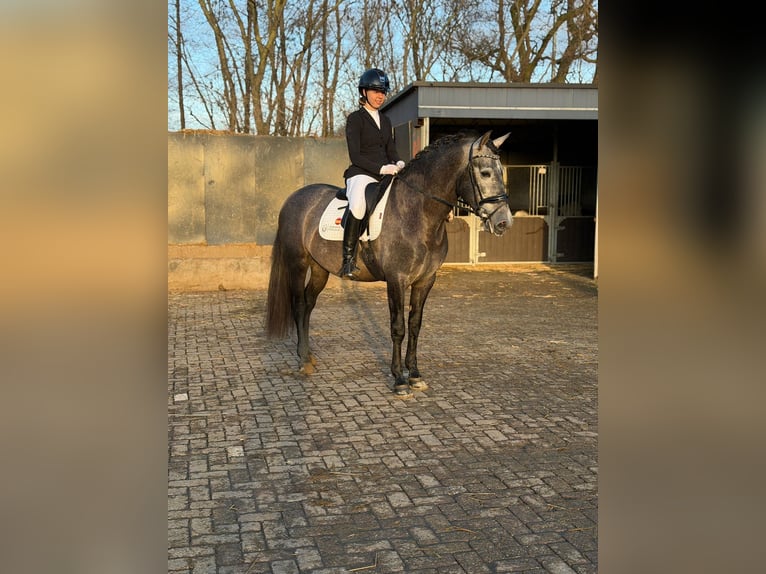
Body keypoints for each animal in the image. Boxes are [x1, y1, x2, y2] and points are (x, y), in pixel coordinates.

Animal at [266, 130, 513, 397]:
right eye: (486, 173)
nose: (504, 222)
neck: (418, 212)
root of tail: (294, 198)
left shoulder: (425, 280)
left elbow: (415, 325)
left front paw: (414, 374)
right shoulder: (397, 279)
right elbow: (398, 327)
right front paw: (399, 380)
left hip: (320, 268)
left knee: (309, 304)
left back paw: (309, 355)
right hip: (298, 264)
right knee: (299, 304)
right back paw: (302, 360)